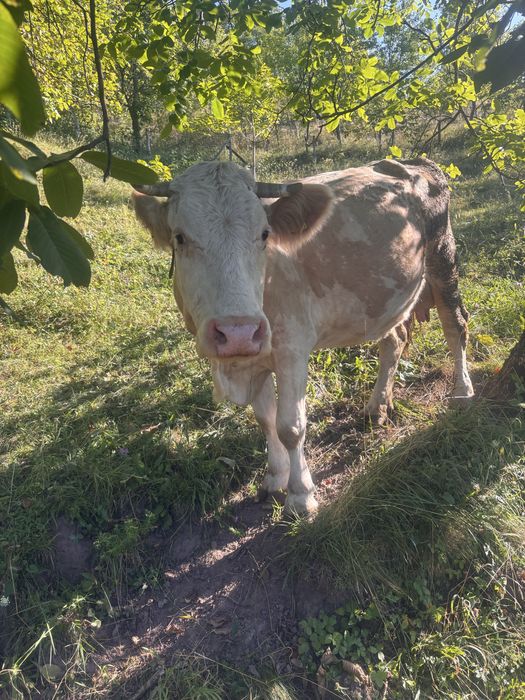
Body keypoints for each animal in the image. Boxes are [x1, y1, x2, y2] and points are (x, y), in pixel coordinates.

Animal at [132, 158, 474, 515]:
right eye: (180, 237)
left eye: (264, 234)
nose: (237, 331)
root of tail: (416, 162)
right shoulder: (255, 353)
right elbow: (265, 419)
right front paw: (275, 476)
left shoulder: (292, 349)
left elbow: (291, 426)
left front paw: (300, 494)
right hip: (385, 297)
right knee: (394, 339)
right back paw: (377, 405)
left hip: (443, 257)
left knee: (455, 326)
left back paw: (462, 391)